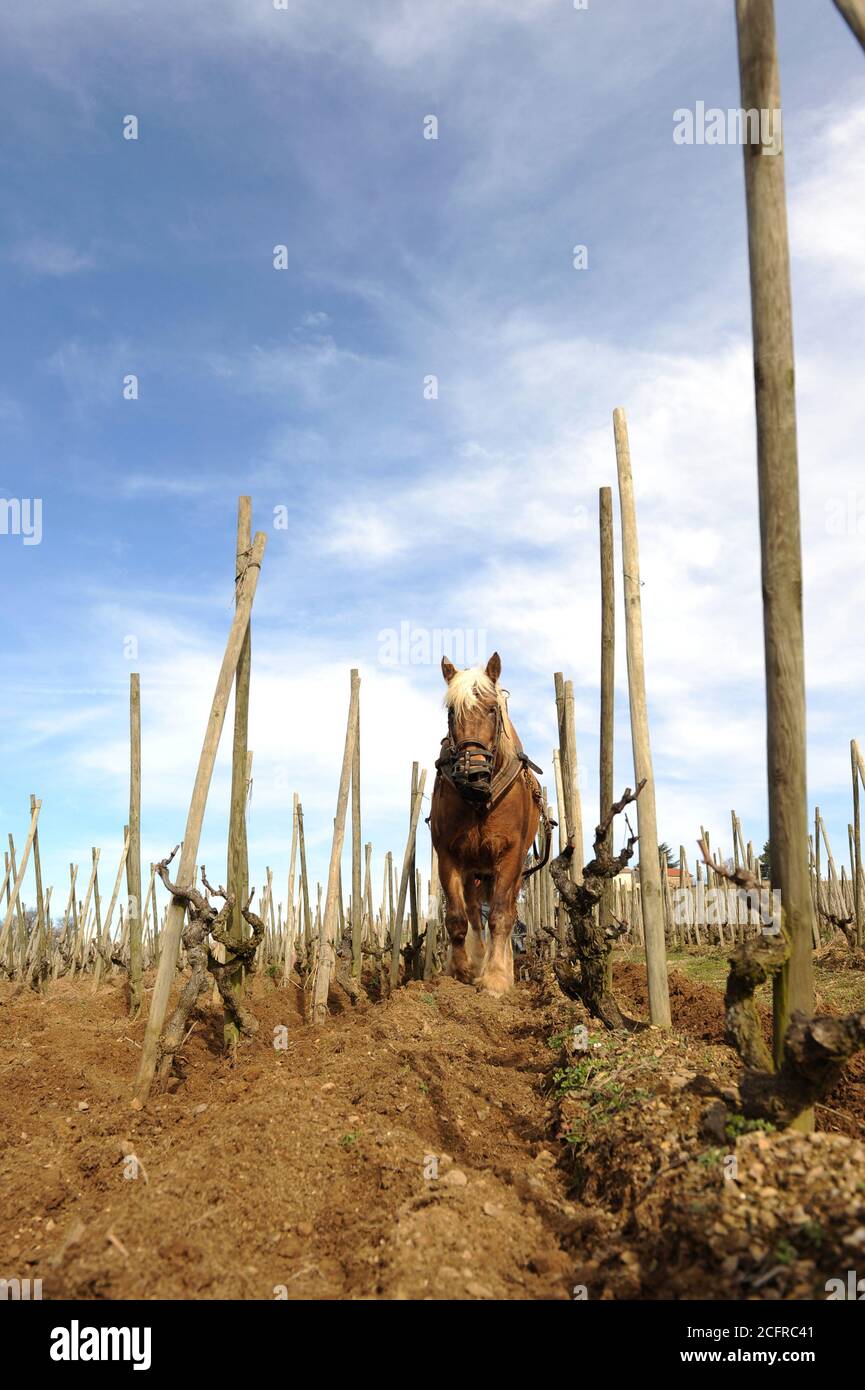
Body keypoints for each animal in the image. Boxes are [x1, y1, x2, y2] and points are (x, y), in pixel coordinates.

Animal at [433, 653, 547, 995]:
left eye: (493, 709)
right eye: (452, 712)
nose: (473, 773)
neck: (478, 801)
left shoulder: (509, 856)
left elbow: (500, 916)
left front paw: (496, 977)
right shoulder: (449, 855)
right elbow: (458, 918)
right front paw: (461, 970)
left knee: (506, 911)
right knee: (473, 913)